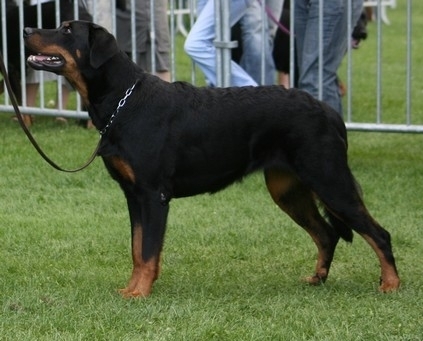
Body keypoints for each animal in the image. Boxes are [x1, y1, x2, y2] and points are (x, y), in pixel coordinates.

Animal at [23, 21, 400, 296]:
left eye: (67, 30)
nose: (26, 30)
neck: (122, 102)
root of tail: (329, 111)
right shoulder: (133, 195)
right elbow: (136, 248)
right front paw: (131, 288)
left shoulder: (154, 195)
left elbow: (148, 251)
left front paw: (139, 293)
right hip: (287, 188)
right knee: (326, 234)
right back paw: (317, 279)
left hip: (329, 179)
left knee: (378, 234)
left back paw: (390, 285)